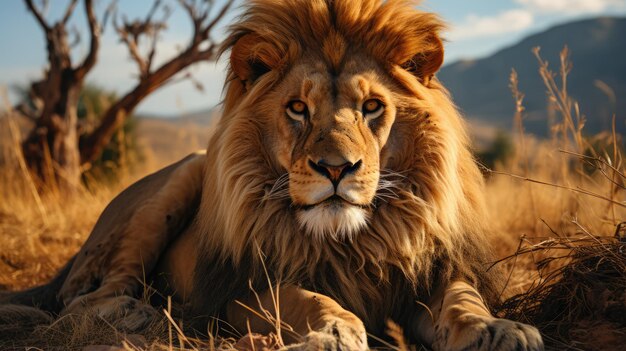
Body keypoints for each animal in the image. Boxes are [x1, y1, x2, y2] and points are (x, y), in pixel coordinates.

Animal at [2, 0, 540, 351]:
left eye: (371, 107)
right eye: (298, 108)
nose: (336, 168)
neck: (353, 244)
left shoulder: (425, 276)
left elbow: (462, 299)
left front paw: (500, 330)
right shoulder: (240, 294)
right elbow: (305, 298)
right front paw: (336, 332)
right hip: (185, 173)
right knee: (85, 297)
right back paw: (138, 313)